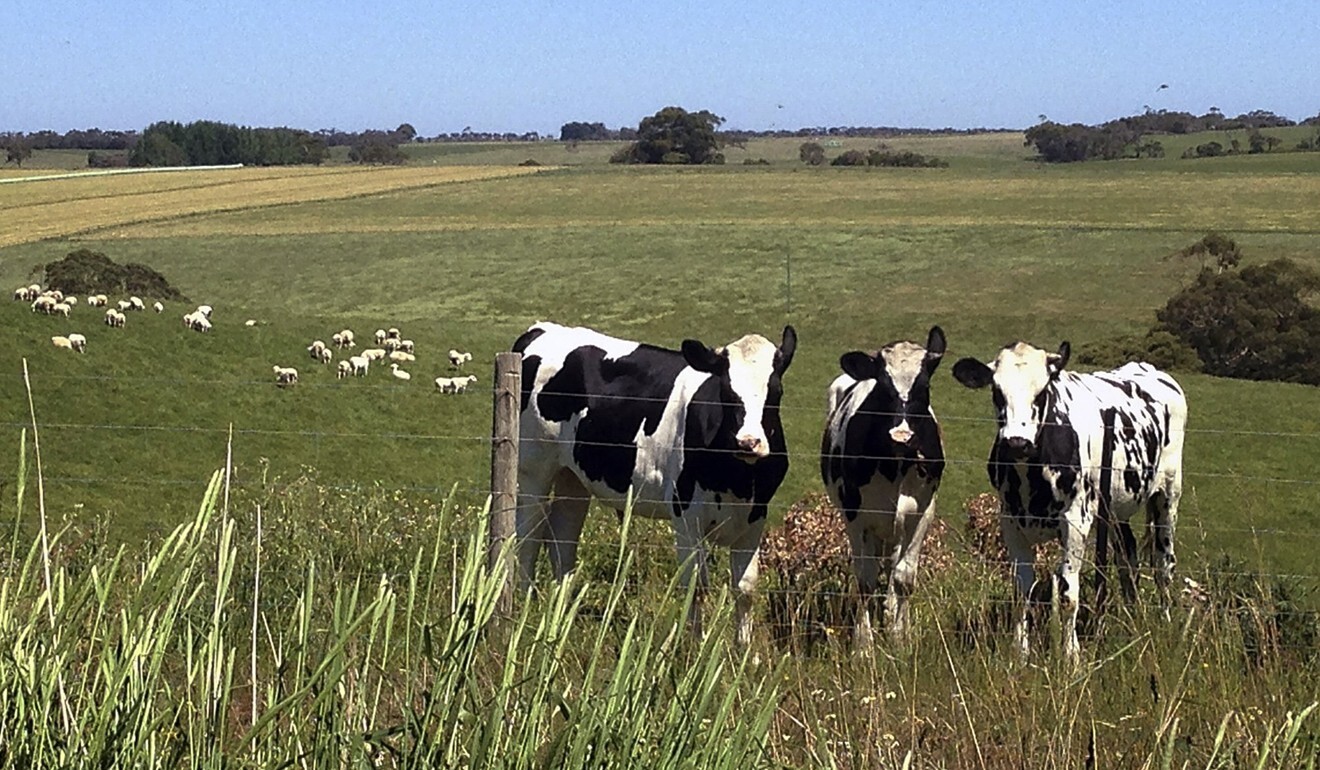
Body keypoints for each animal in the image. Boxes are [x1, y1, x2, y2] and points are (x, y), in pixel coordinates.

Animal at [512, 319, 792, 644]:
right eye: (726, 390)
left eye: (776, 391)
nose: (748, 442)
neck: (737, 480)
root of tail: (542, 328)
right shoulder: (686, 516)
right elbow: (696, 586)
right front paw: (693, 647)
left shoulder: (755, 517)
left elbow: (745, 589)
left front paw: (744, 651)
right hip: (534, 469)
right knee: (528, 538)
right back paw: (525, 608)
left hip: (574, 479)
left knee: (562, 541)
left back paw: (562, 611)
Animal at [818, 324, 945, 649]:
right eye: (883, 388)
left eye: (924, 387)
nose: (901, 435)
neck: (895, 467)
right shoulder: (855, 515)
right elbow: (865, 580)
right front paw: (863, 644)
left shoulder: (922, 512)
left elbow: (904, 578)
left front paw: (900, 636)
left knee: (892, 566)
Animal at [955, 340, 1193, 663]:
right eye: (997, 391)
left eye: (1042, 391)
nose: (1017, 442)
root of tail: (1150, 369)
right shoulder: (1011, 521)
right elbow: (1021, 591)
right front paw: (1020, 653)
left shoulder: (1076, 520)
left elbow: (1068, 595)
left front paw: (1071, 656)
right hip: (1115, 507)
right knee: (1127, 557)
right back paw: (1132, 618)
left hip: (1168, 494)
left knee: (1163, 563)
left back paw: (1165, 624)